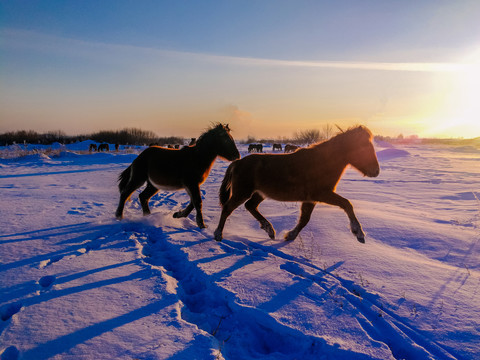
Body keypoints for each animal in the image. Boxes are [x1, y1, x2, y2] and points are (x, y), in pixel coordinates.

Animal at [216, 126, 380, 242]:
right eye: (364, 147)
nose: (376, 171)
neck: (322, 163)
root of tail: (237, 163)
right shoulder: (321, 194)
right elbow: (347, 204)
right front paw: (358, 233)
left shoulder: (311, 199)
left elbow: (304, 220)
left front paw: (290, 235)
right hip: (242, 192)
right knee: (228, 208)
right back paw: (218, 235)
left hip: (259, 193)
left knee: (250, 206)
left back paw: (269, 230)